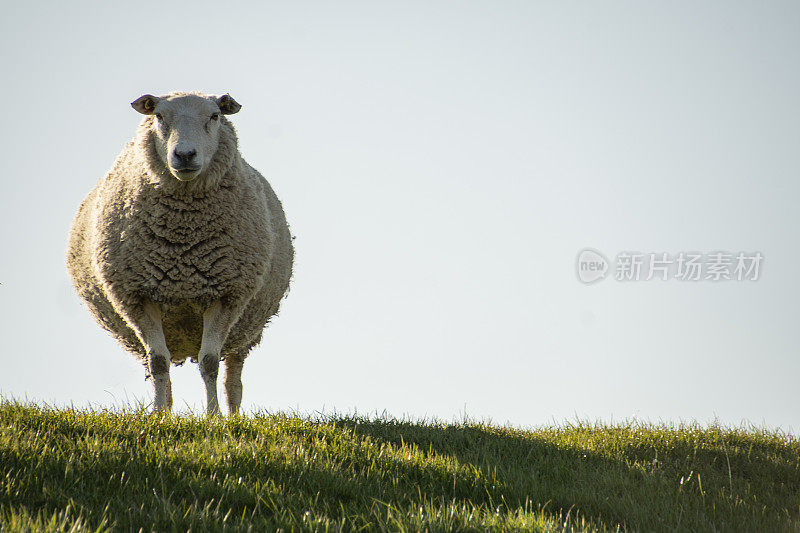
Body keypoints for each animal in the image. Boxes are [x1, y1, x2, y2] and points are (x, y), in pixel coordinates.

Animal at [65, 90, 290, 416]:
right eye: (159, 116)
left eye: (214, 116)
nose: (184, 155)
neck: (183, 236)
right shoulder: (136, 297)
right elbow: (158, 361)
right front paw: (159, 416)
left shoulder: (226, 296)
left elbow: (210, 362)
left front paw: (213, 416)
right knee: (160, 363)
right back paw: (167, 409)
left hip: (248, 325)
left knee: (233, 373)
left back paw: (234, 415)